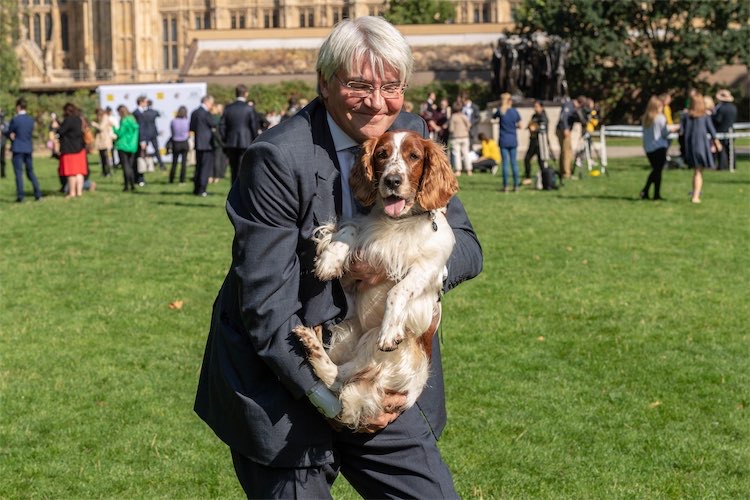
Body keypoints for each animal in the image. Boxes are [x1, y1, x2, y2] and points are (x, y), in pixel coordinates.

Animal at [294, 131, 458, 432]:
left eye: (414, 156)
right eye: (382, 154)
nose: (392, 180)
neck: (399, 223)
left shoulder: (428, 268)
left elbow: (398, 289)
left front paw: (390, 329)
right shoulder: (355, 271)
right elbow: (347, 229)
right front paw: (330, 260)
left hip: (376, 348)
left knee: (338, 377)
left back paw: (312, 342)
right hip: (350, 333)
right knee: (337, 377)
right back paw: (313, 337)